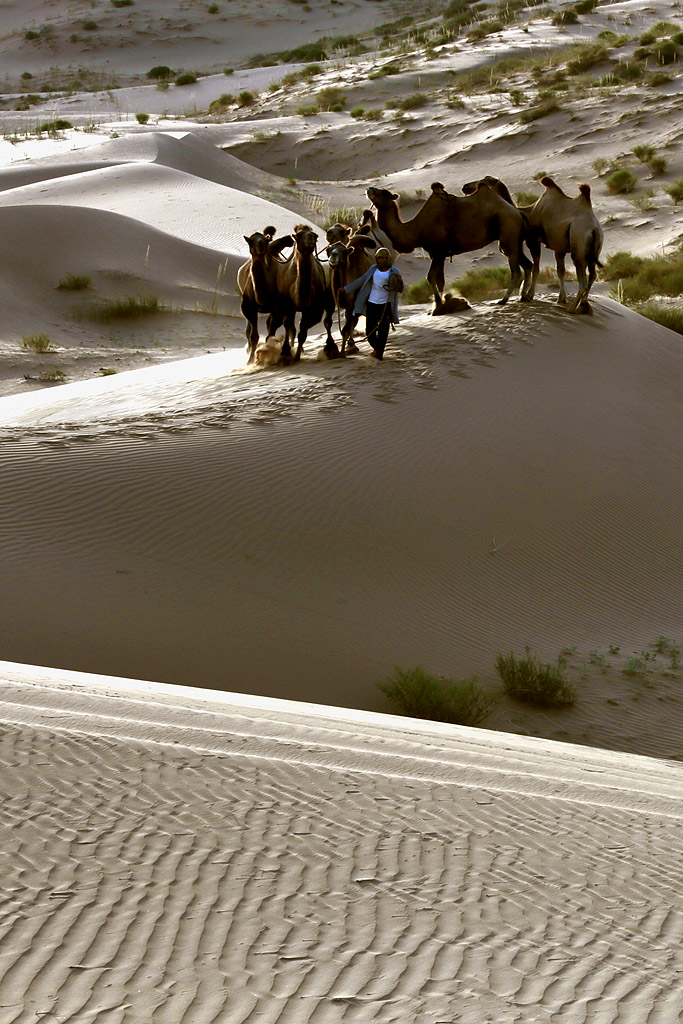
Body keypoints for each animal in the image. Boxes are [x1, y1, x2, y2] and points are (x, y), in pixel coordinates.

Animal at [237, 225, 294, 364]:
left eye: (265, 240)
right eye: (250, 241)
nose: (260, 245)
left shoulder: (277, 307)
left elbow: (270, 334)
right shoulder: (248, 307)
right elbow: (253, 336)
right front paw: (250, 361)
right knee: (248, 331)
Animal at [270, 225, 337, 364]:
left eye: (315, 235)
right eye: (298, 235)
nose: (310, 237)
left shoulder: (312, 309)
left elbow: (303, 331)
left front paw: (296, 355)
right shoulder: (288, 305)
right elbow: (288, 325)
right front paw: (285, 353)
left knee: (325, 321)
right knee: (282, 325)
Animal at [325, 222, 376, 354]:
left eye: (342, 231)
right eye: (328, 250)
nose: (329, 232)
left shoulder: (356, 300)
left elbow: (347, 327)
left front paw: (344, 351)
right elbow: (331, 323)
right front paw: (332, 348)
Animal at [366, 180, 532, 313]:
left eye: (385, 192)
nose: (370, 189)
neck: (417, 229)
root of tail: (517, 211)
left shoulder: (438, 251)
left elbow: (430, 277)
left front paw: (438, 305)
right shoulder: (436, 254)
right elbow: (440, 280)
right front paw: (441, 304)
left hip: (507, 231)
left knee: (515, 270)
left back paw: (504, 300)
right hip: (515, 239)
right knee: (527, 264)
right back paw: (523, 296)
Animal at [458, 175, 602, 311]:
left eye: (484, 181)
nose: (465, 187)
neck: (526, 213)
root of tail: (594, 228)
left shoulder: (533, 240)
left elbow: (536, 268)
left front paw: (529, 295)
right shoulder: (558, 247)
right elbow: (560, 271)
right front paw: (561, 299)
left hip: (578, 248)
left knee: (583, 280)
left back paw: (572, 309)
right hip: (593, 250)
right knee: (592, 275)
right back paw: (583, 305)